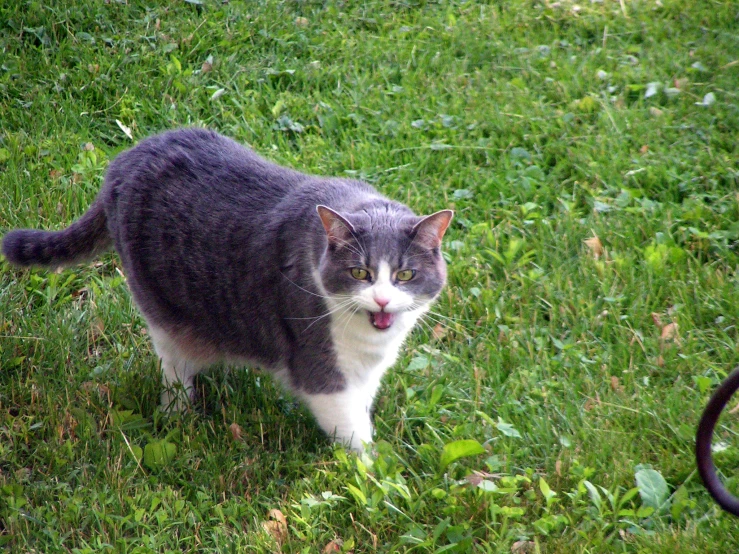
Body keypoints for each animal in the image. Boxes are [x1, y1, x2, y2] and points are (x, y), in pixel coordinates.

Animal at [2, 127, 454, 450]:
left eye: (405, 276)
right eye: (360, 273)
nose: (382, 299)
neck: (368, 341)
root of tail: (125, 159)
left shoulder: (367, 371)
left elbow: (363, 406)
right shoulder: (318, 363)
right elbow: (350, 427)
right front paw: (375, 475)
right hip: (162, 308)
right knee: (174, 366)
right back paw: (179, 412)